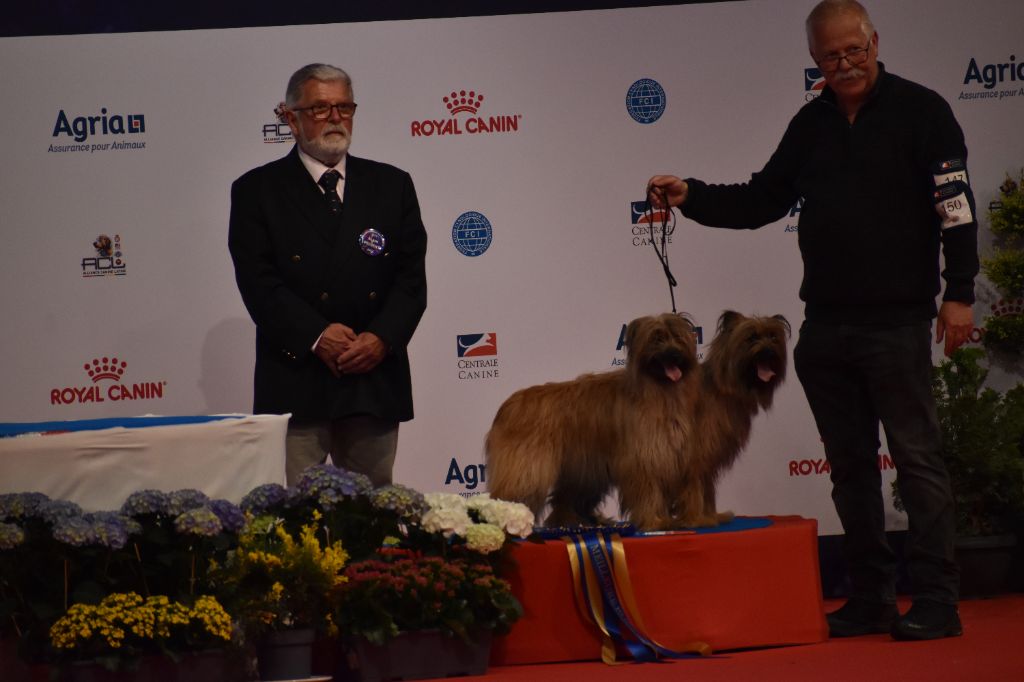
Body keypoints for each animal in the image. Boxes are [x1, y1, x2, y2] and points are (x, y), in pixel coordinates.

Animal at [485, 313, 696, 532]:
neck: (657, 389)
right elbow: (648, 489)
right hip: (527, 468)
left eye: (678, 337)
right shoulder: (643, 457)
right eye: (656, 338)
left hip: (585, 467)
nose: (675, 354)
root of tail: (508, 405)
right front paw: (654, 521)